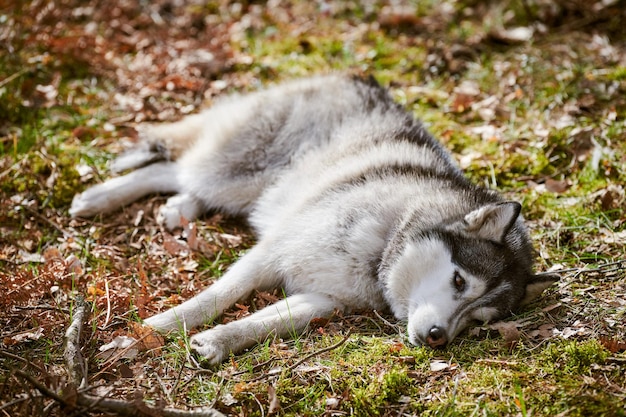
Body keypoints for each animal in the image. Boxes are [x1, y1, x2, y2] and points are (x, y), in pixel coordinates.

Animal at [69, 75, 556, 364]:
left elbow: (265, 322)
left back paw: (179, 208)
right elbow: (210, 300)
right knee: (170, 168)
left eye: (479, 321)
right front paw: (148, 333)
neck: (383, 245)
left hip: (246, 189)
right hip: (236, 175)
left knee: (181, 178)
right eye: (458, 281)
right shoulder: (269, 254)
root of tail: (352, 77)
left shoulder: (323, 299)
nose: (439, 337)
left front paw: (219, 341)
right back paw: (97, 198)